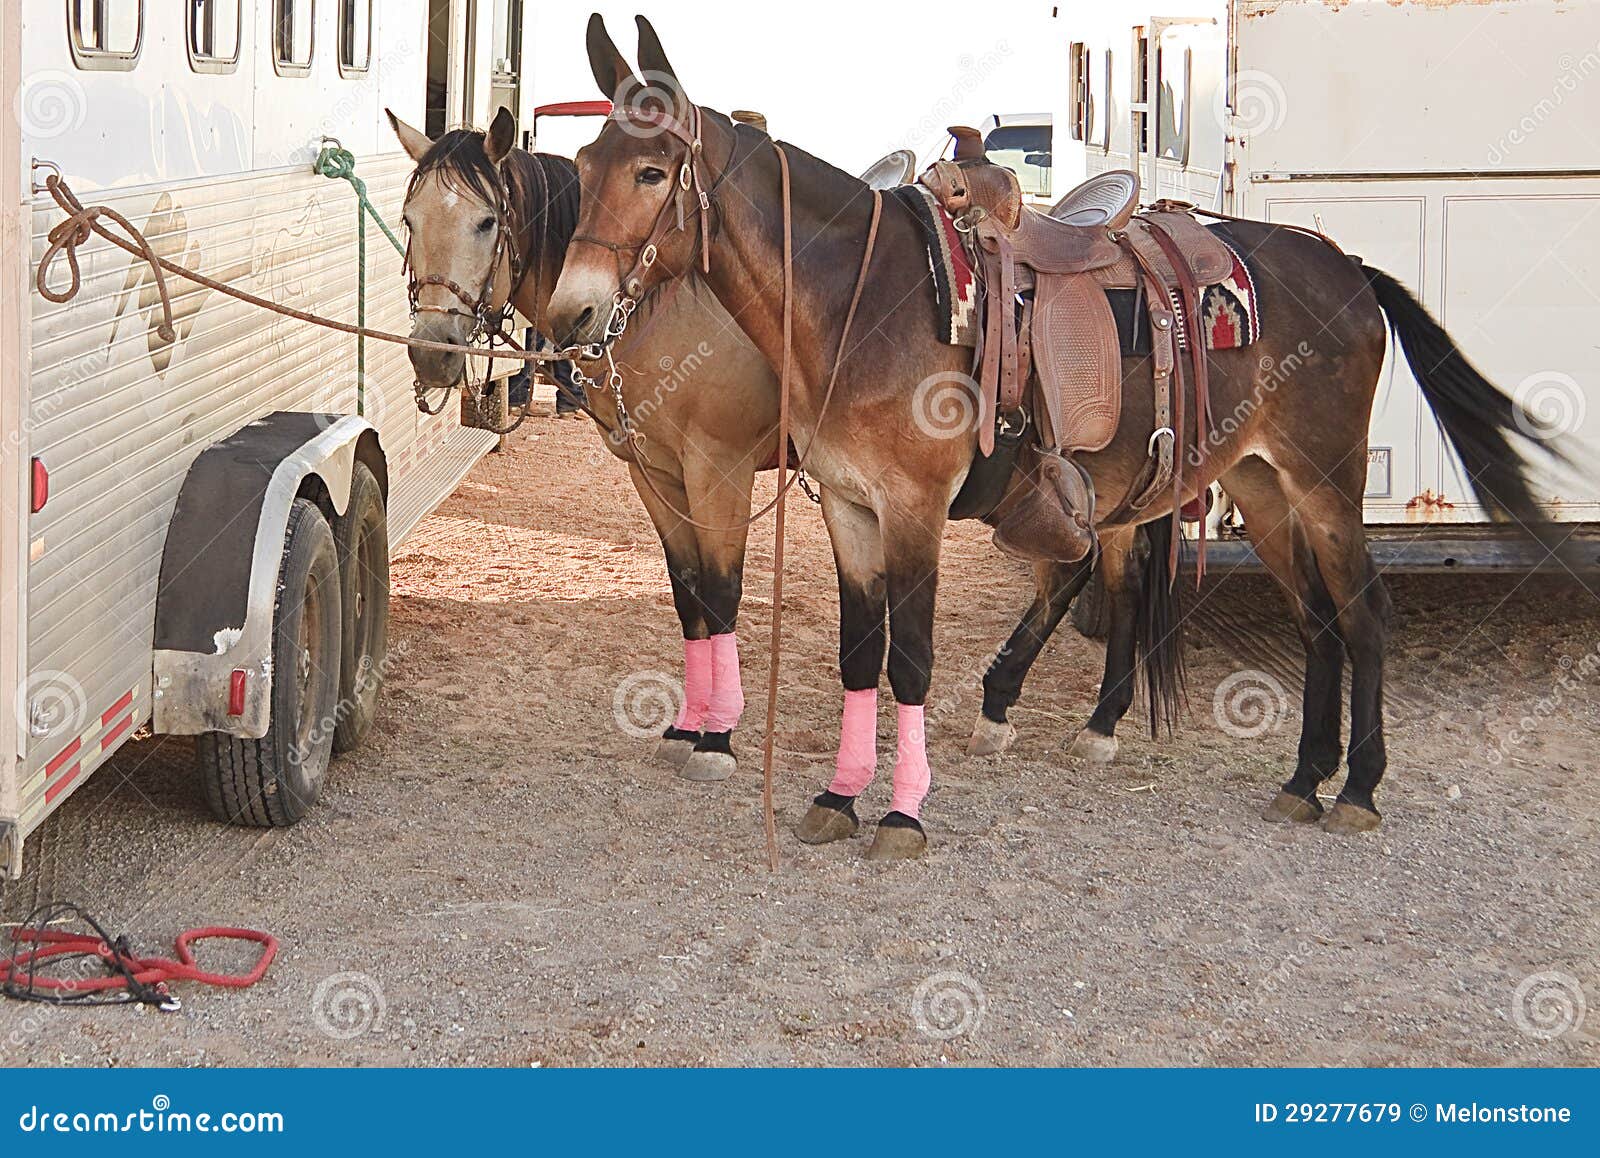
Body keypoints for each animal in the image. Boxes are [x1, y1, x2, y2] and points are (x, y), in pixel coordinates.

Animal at [546, 15, 1569, 861]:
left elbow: (910, 659)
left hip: (1326, 482)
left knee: (1362, 614)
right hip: (1262, 485)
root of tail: (1348, 268)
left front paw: (903, 815)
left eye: (650, 172)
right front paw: (838, 798)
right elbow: (859, 653)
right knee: (1315, 618)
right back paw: (1305, 778)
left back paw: (1356, 787)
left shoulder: (911, 510)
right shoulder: (847, 507)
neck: (862, 303)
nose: (571, 315)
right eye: (582, 166)